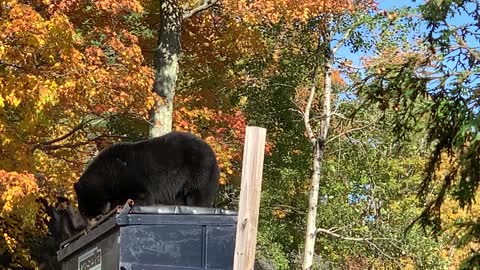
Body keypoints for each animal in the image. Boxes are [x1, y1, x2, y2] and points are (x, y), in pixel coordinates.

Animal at [74, 132, 220, 223]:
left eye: (85, 210)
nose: (92, 220)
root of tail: (213, 153)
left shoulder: (129, 178)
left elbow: (141, 195)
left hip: (199, 171)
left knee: (197, 196)